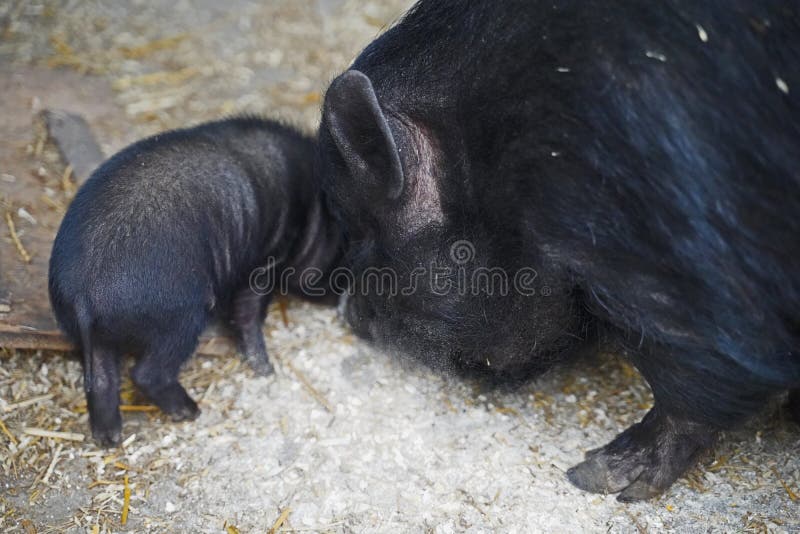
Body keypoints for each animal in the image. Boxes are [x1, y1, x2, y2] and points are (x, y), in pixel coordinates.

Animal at [49, 117, 340, 446]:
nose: (341, 297)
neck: (309, 208)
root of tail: (83, 296)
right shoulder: (263, 261)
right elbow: (248, 314)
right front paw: (266, 370)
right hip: (179, 317)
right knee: (147, 373)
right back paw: (191, 411)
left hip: (96, 336)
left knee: (101, 378)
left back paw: (110, 438)